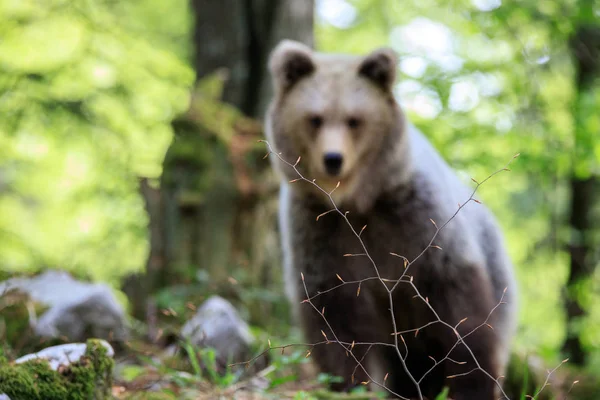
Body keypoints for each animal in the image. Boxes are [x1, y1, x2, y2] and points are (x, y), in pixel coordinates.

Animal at [264, 39, 516, 400]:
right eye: (315, 118)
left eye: (354, 120)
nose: (333, 159)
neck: (358, 202)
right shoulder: (321, 231)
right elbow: (335, 316)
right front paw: (347, 383)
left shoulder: (417, 221)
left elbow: (461, 311)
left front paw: (473, 382)